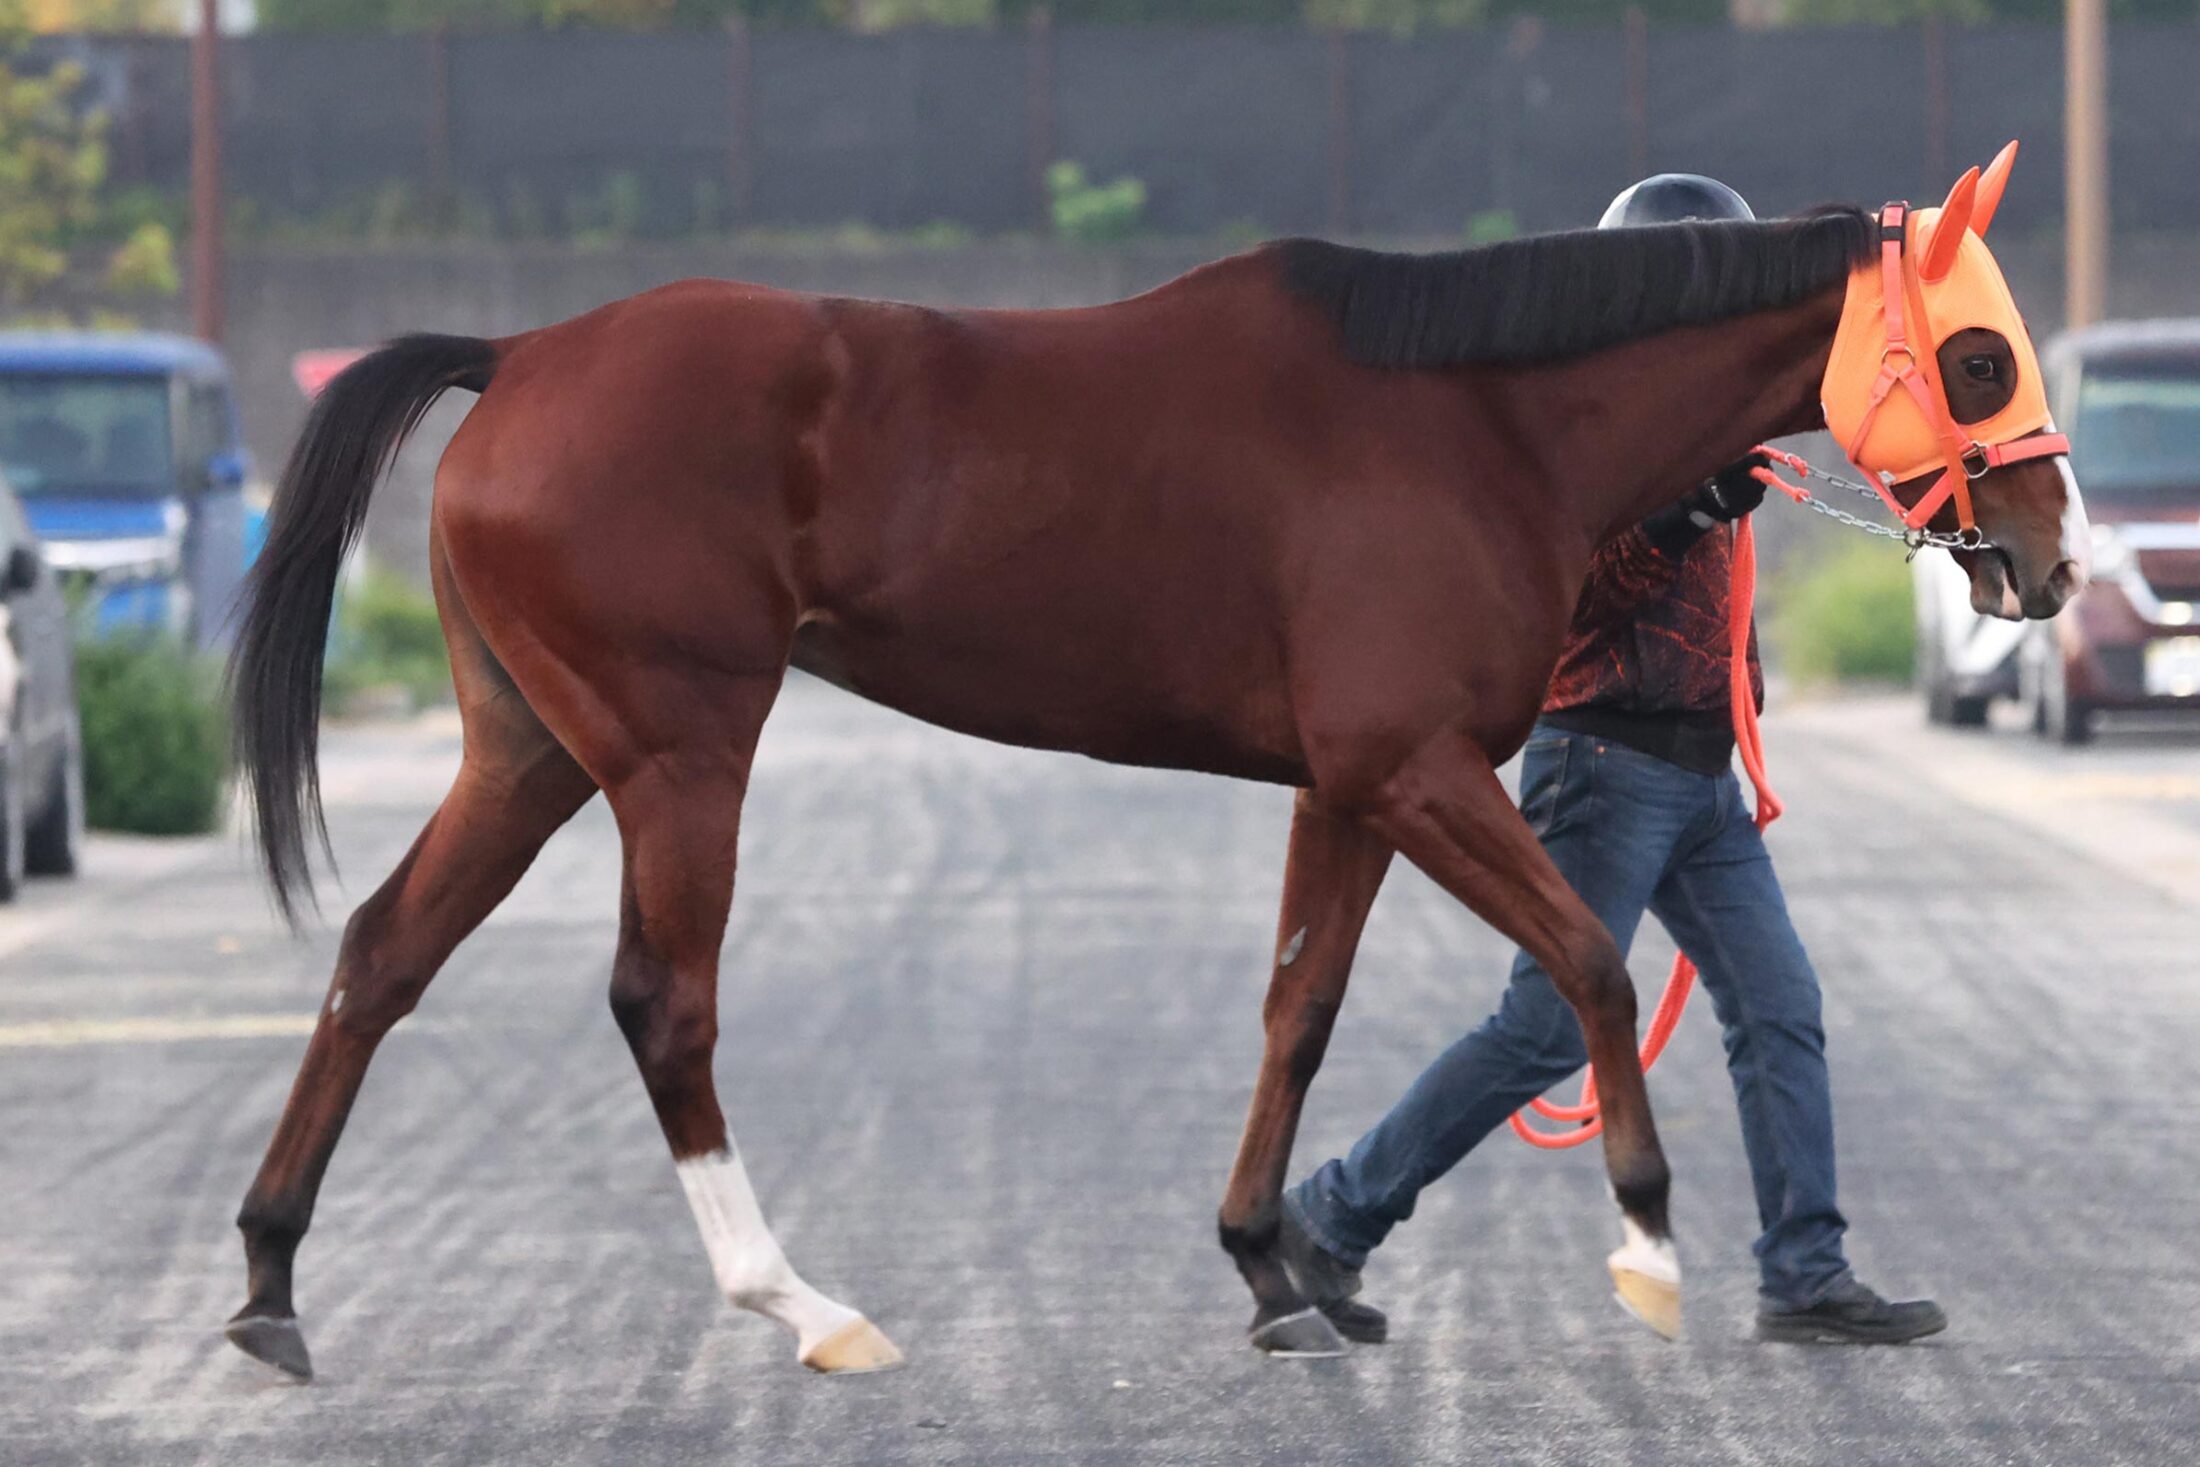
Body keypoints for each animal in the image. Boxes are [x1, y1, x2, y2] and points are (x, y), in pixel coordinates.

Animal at [223, 166, 2076, 1381]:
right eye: (1980, 358)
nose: (2049, 564)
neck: (1477, 421)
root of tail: (521, 356)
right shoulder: (1416, 770)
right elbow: (1588, 965)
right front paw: (1643, 1249)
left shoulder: (1350, 787)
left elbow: (1300, 1010)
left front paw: (1277, 1271)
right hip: (682, 749)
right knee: (662, 1002)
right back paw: (800, 1303)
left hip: (530, 750)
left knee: (382, 953)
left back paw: (268, 1281)